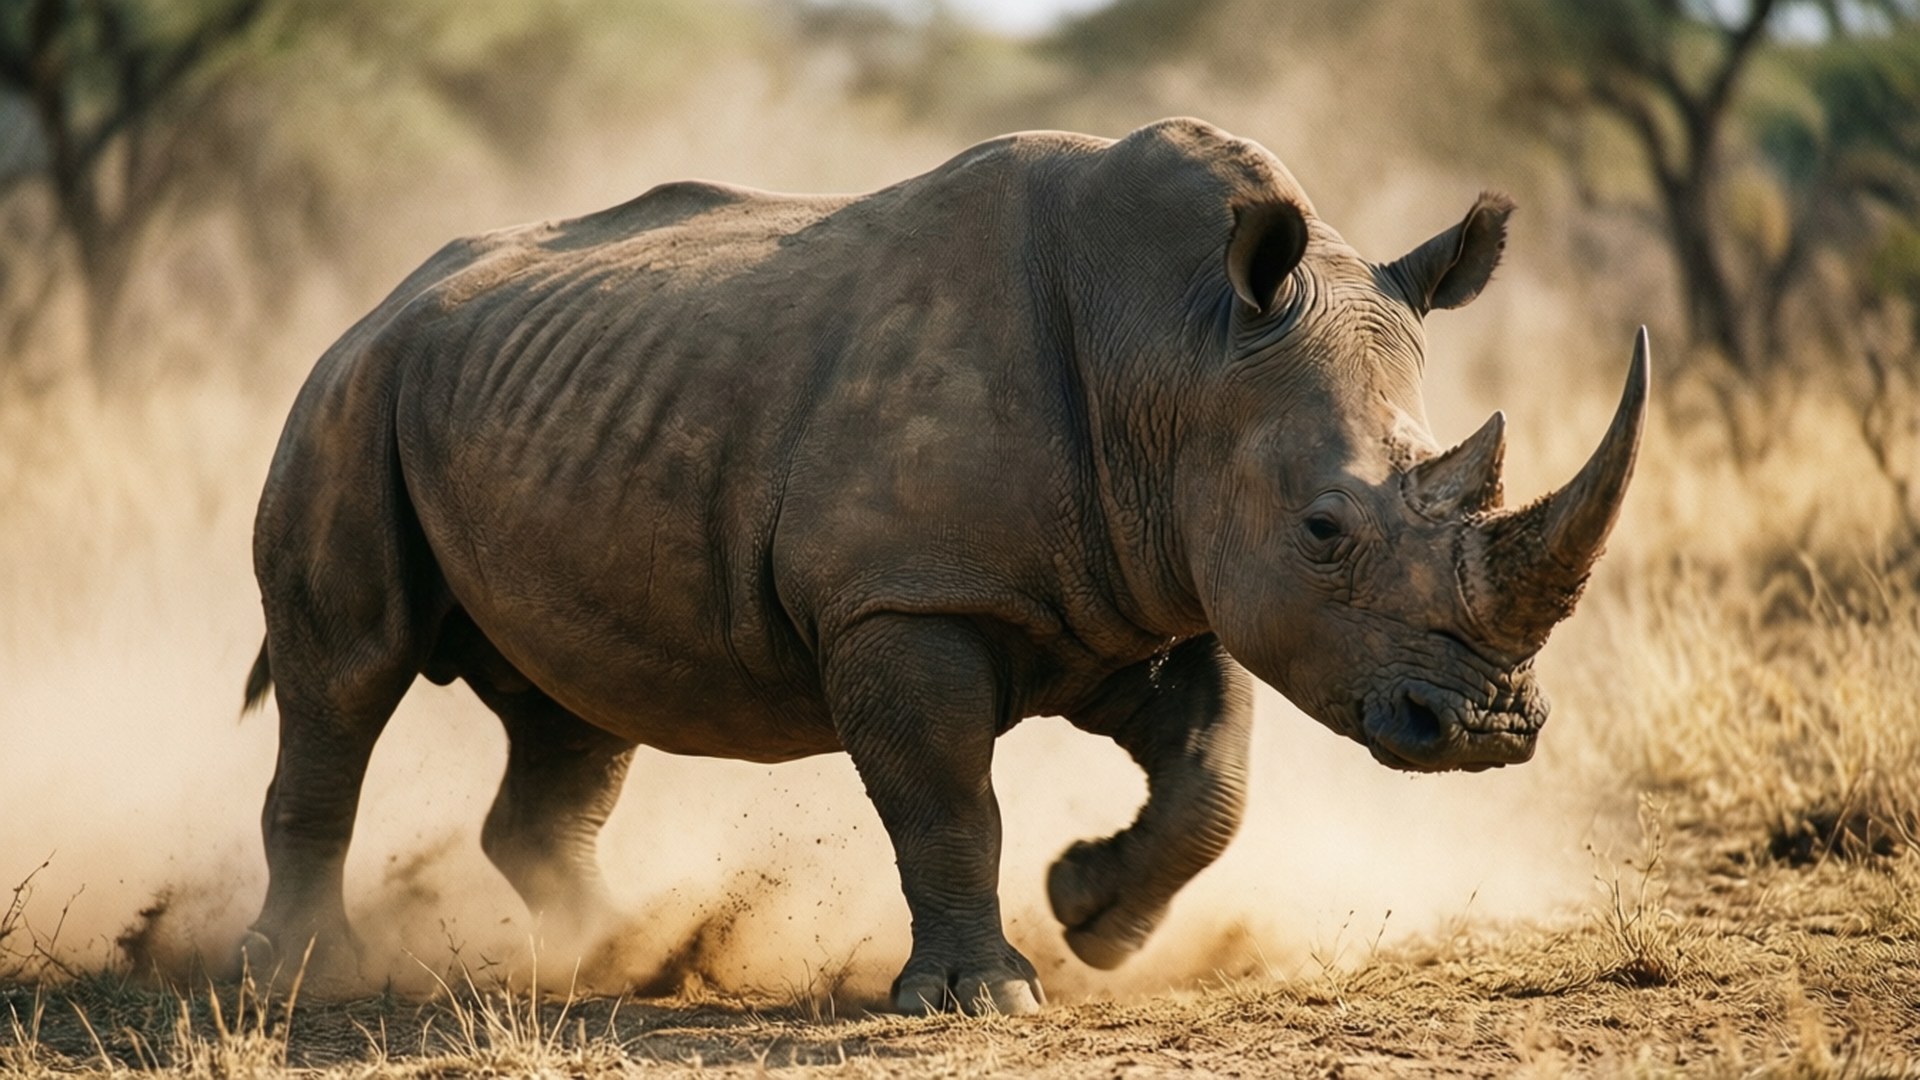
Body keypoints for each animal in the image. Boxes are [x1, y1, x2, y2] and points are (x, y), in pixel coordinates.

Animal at [240, 118, 1647, 1015]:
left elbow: (1215, 774)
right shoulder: (905, 598)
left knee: (576, 707)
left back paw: (624, 957)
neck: (1179, 352)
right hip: (350, 393)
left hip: (538, 405)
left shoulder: (1158, 582)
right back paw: (307, 977)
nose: (1491, 729)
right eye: (1324, 531)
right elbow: (945, 796)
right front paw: (984, 996)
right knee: (346, 673)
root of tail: (381, 300)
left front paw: (1094, 913)